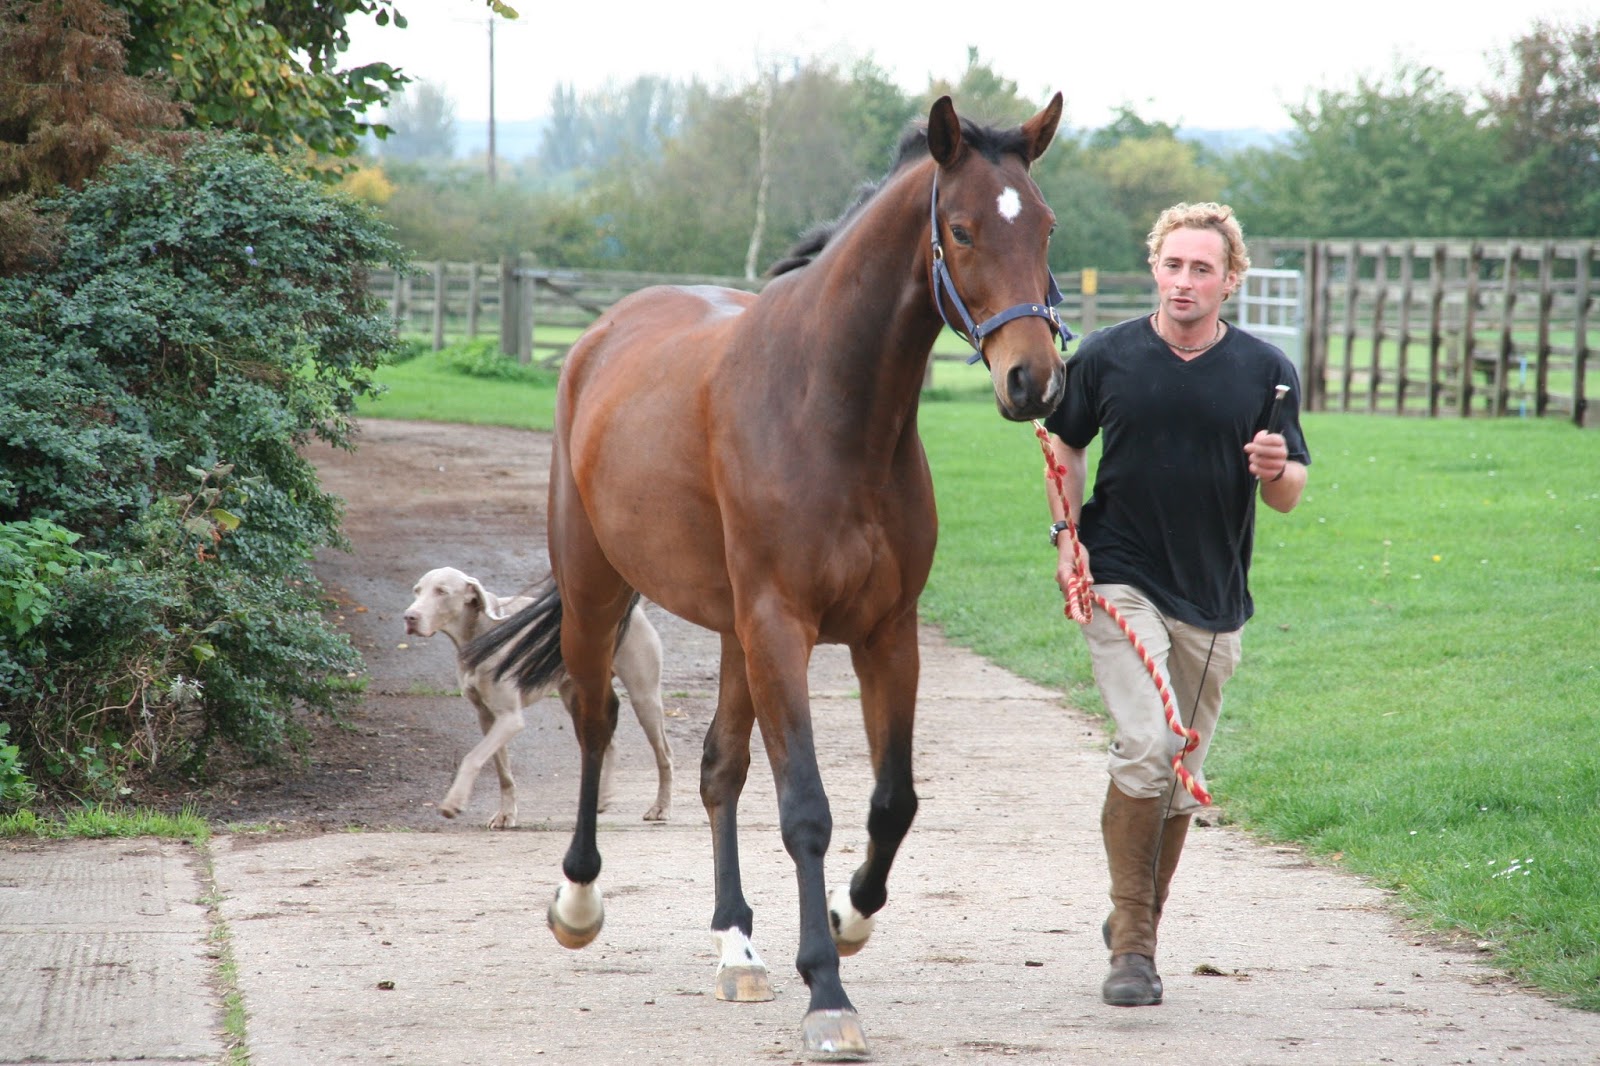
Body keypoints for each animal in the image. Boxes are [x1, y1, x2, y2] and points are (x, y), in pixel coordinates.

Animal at [465, 93, 1066, 1059]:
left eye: (1044, 225)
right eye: (964, 230)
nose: (1032, 381)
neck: (830, 409)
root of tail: (599, 337)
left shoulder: (885, 635)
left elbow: (891, 802)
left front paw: (849, 919)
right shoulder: (783, 628)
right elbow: (807, 809)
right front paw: (827, 992)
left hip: (731, 631)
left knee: (718, 768)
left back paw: (736, 945)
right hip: (601, 594)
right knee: (595, 722)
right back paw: (579, 901)